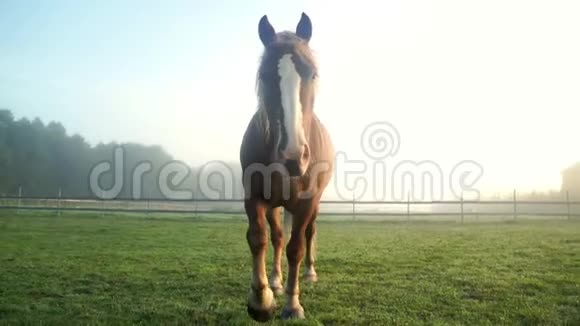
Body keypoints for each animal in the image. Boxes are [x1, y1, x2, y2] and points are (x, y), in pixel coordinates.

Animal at [238, 12, 334, 320]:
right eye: (265, 75)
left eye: (312, 74)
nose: (293, 156)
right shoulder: (254, 196)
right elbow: (259, 238)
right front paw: (262, 299)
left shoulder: (305, 203)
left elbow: (296, 248)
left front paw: (293, 305)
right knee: (278, 237)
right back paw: (277, 282)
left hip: (314, 204)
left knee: (307, 235)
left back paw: (309, 274)